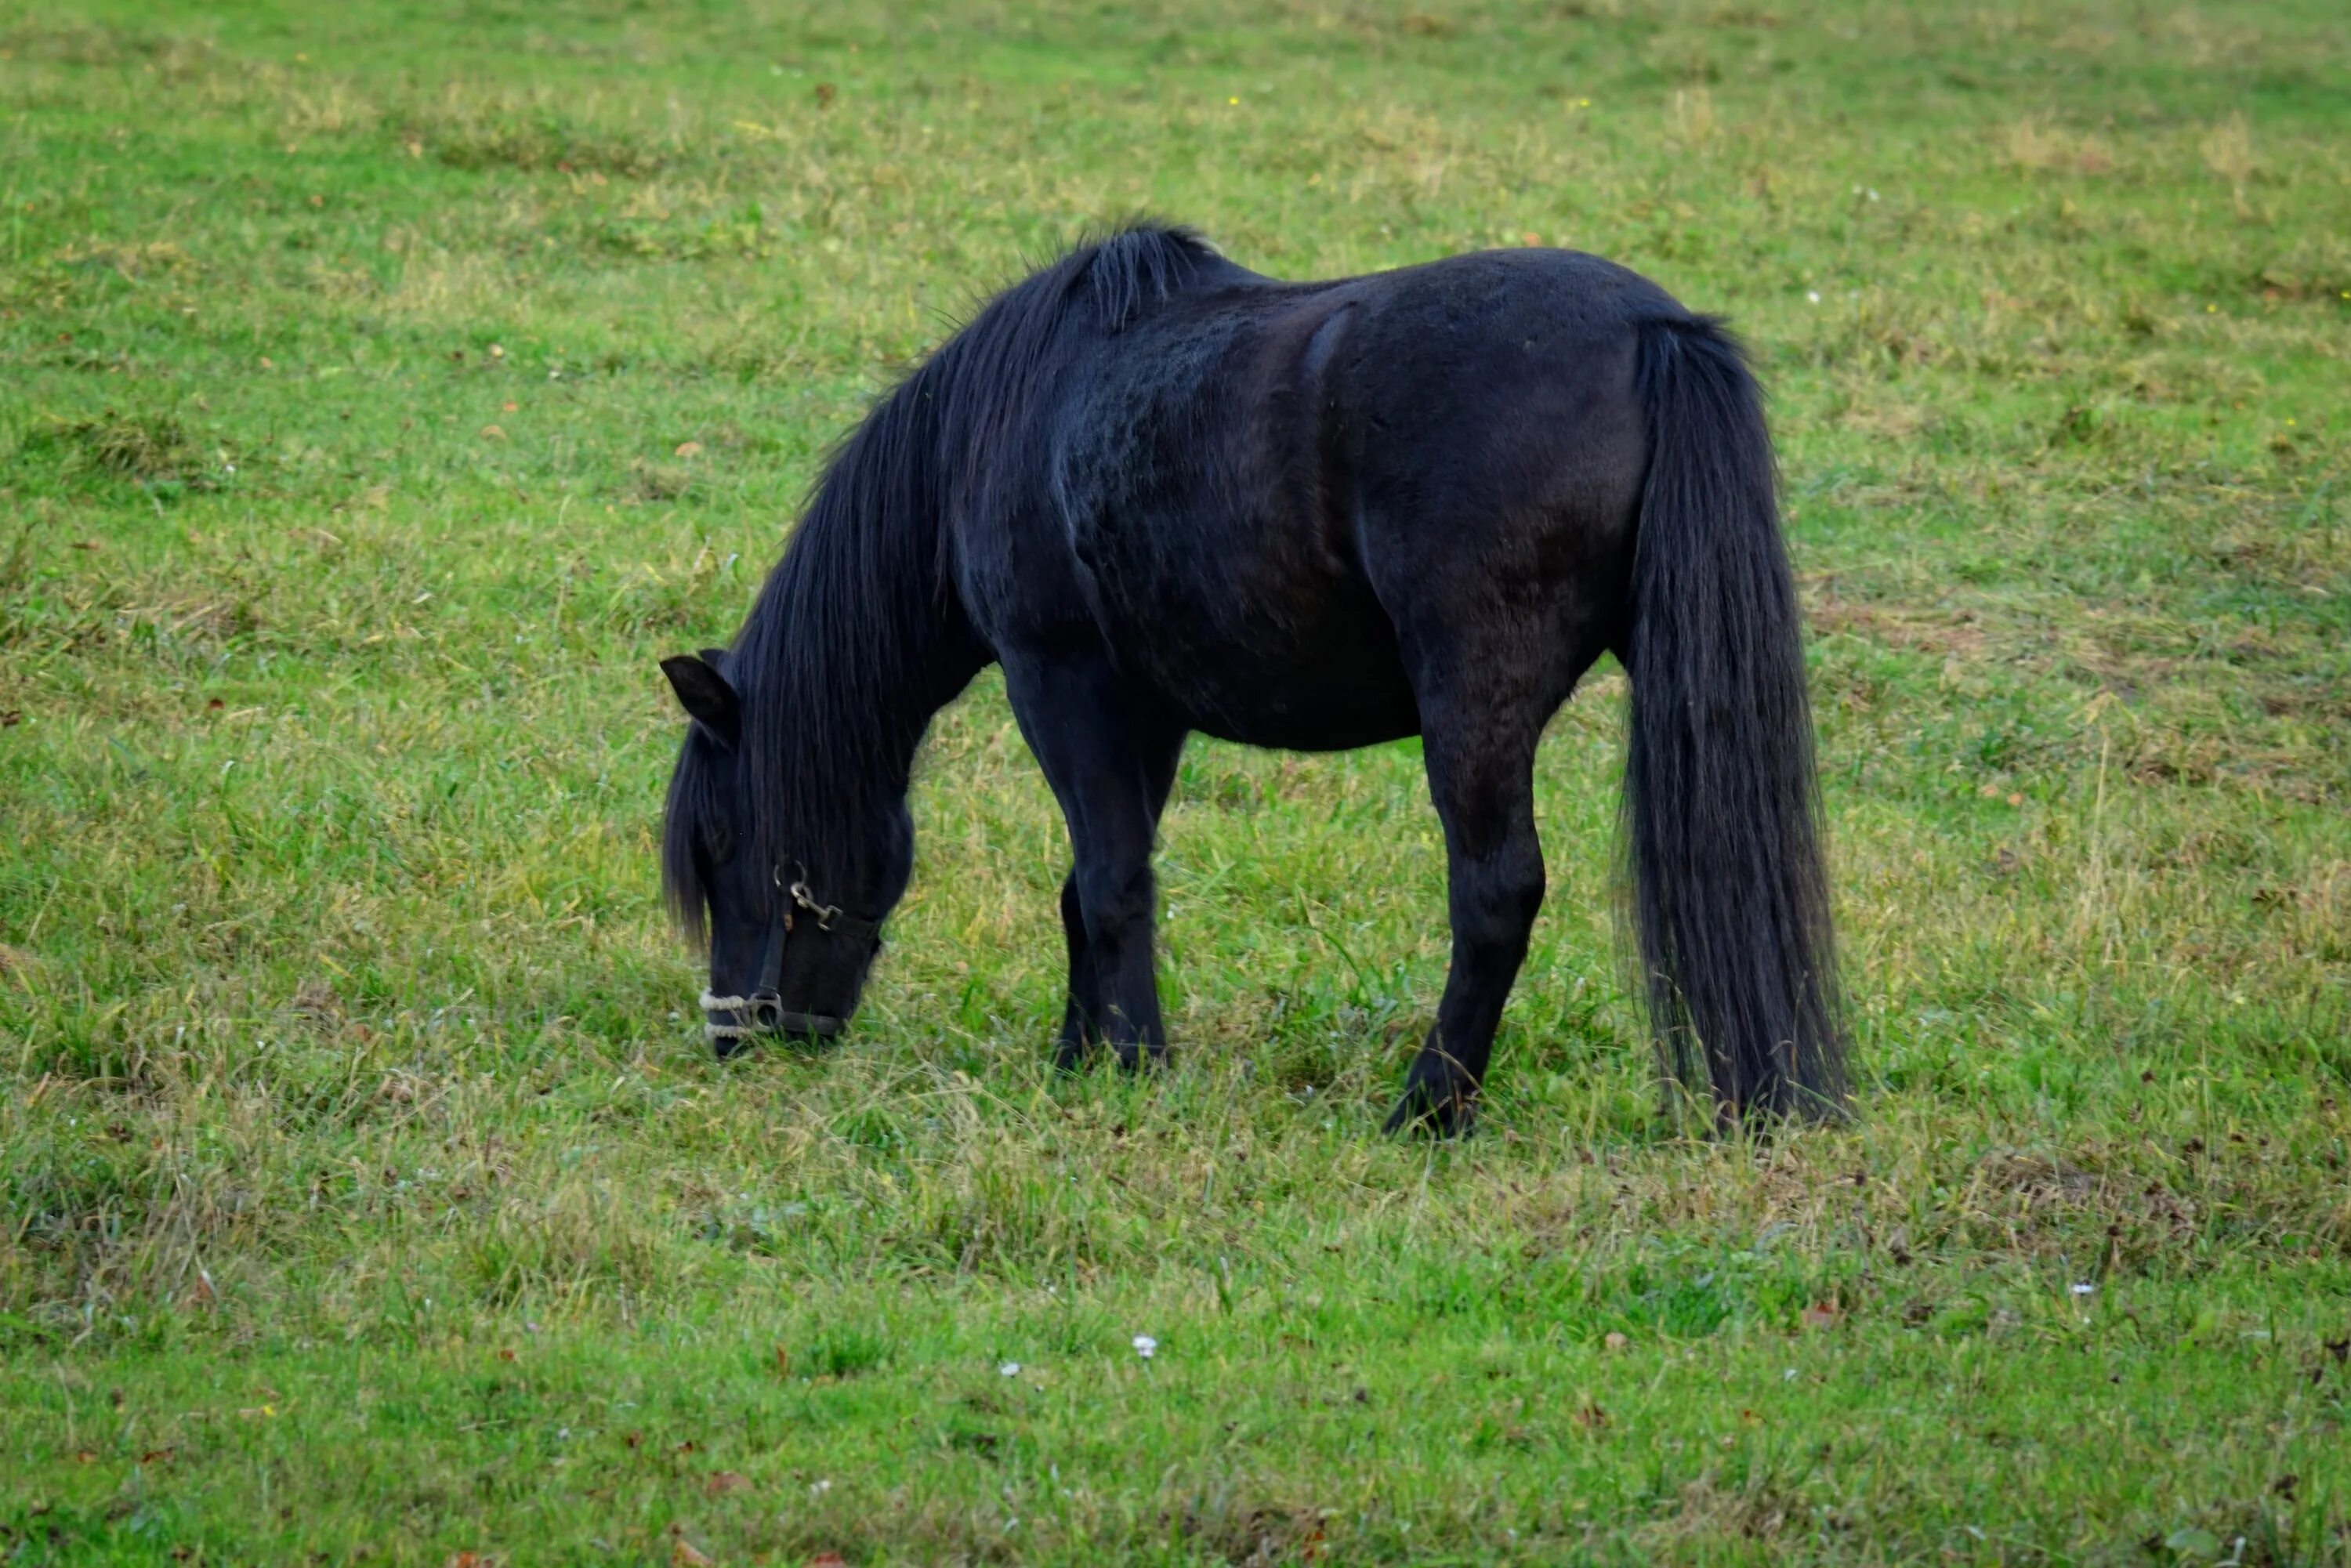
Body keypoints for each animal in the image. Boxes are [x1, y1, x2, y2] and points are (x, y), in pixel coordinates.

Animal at [654, 223, 1843, 1128]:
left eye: (721, 843)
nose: (738, 1036)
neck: (1003, 421)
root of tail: (1653, 333)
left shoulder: (1060, 679)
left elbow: (1111, 882)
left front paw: (1134, 1065)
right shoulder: (1148, 710)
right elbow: (1092, 885)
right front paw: (1080, 1055)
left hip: (1474, 701)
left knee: (1497, 892)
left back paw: (1427, 1109)